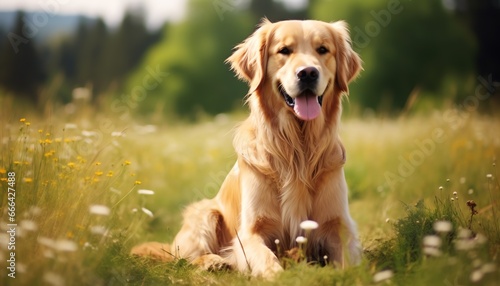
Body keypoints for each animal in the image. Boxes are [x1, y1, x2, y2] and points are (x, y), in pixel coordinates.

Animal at [131, 19, 362, 278]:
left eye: (323, 49)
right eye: (284, 50)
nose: (308, 73)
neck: (297, 148)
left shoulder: (339, 224)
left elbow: (350, 261)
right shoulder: (250, 232)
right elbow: (266, 258)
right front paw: (278, 275)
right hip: (204, 213)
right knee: (184, 257)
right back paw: (213, 262)